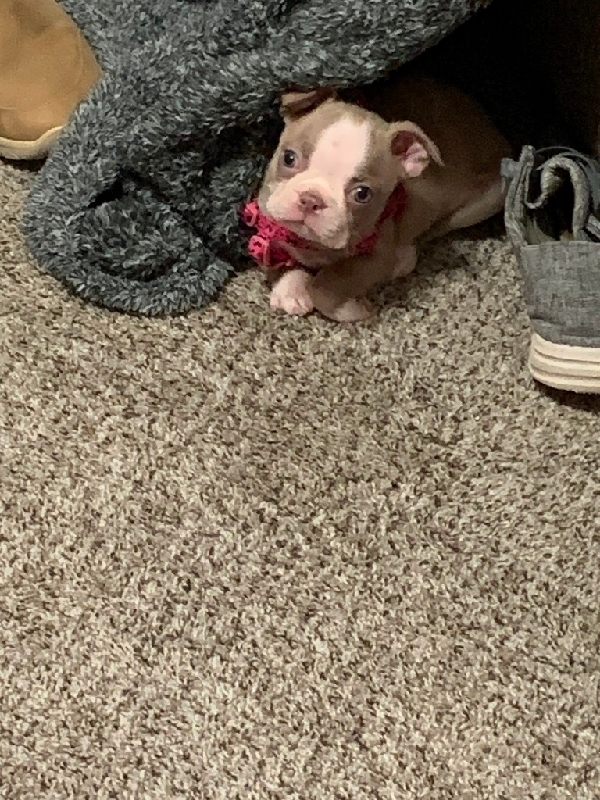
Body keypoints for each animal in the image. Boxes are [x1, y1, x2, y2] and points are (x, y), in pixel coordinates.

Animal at [245, 75, 512, 321]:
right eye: (288, 158)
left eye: (362, 194)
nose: (311, 199)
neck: (313, 245)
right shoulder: (268, 224)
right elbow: (278, 258)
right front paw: (290, 288)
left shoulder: (376, 256)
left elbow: (326, 284)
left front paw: (349, 309)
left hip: (488, 199)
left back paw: (404, 259)